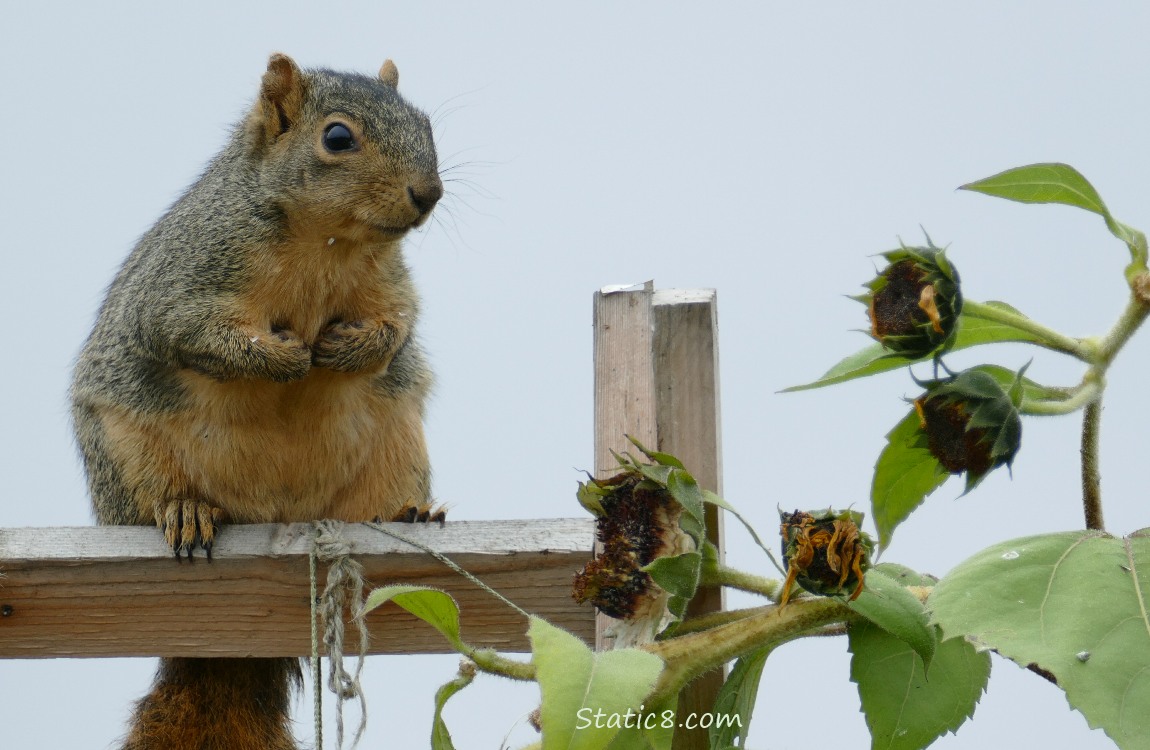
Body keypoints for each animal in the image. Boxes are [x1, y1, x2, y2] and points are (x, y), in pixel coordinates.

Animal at [69, 54, 441, 750]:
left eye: (426, 124)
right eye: (338, 137)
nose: (428, 194)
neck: (328, 243)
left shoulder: (391, 284)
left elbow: (396, 328)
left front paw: (349, 347)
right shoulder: (185, 280)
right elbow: (190, 333)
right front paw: (284, 357)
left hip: (397, 443)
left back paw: (411, 513)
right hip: (124, 455)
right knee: (156, 498)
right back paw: (185, 509)